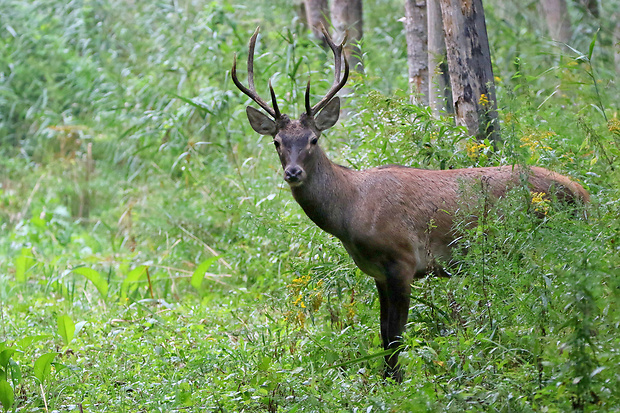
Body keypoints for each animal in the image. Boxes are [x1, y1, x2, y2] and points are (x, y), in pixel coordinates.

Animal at [231, 25, 588, 380]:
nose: (293, 172)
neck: (351, 212)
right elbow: (383, 333)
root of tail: (582, 192)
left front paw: (397, 383)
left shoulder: (403, 260)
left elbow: (395, 336)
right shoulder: (377, 272)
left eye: (313, 139)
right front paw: (387, 381)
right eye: (277, 142)